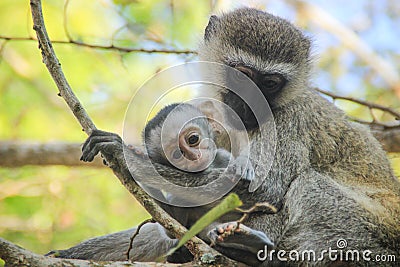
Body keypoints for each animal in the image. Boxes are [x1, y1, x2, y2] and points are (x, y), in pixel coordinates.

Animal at [53, 7, 400, 266]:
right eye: (242, 76)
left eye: (270, 83)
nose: (251, 102)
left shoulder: (289, 121)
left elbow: (264, 191)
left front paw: (125, 155)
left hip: (364, 234)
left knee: (308, 186)